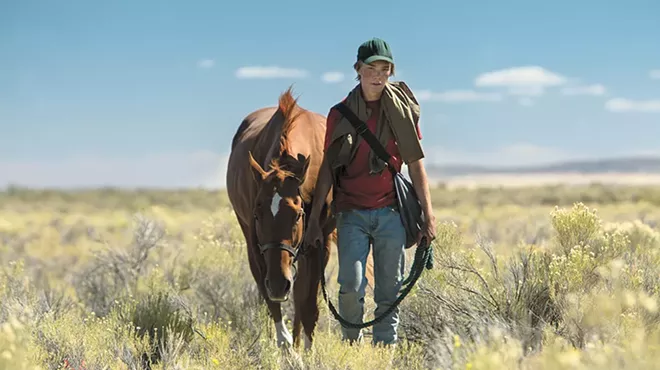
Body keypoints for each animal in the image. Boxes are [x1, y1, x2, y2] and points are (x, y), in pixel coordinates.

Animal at [227, 86, 336, 350]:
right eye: (257, 214)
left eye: (298, 215)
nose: (278, 284)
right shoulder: (257, 245)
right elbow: (272, 304)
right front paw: (290, 350)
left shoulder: (319, 244)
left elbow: (308, 308)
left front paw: (307, 351)